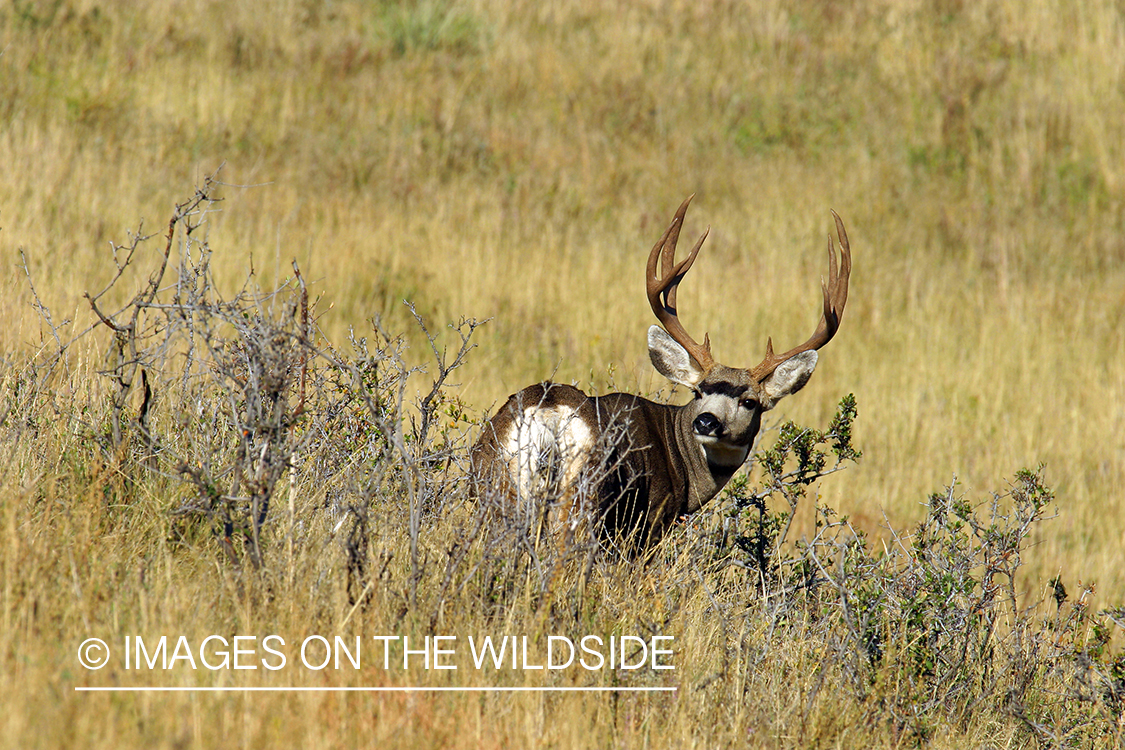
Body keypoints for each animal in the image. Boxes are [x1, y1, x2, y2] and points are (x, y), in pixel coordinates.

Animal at [470, 196, 851, 553]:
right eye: (699, 392)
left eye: (749, 401)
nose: (706, 422)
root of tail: (548, 413)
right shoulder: (651, 521)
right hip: (584, 499)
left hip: (498, 488)